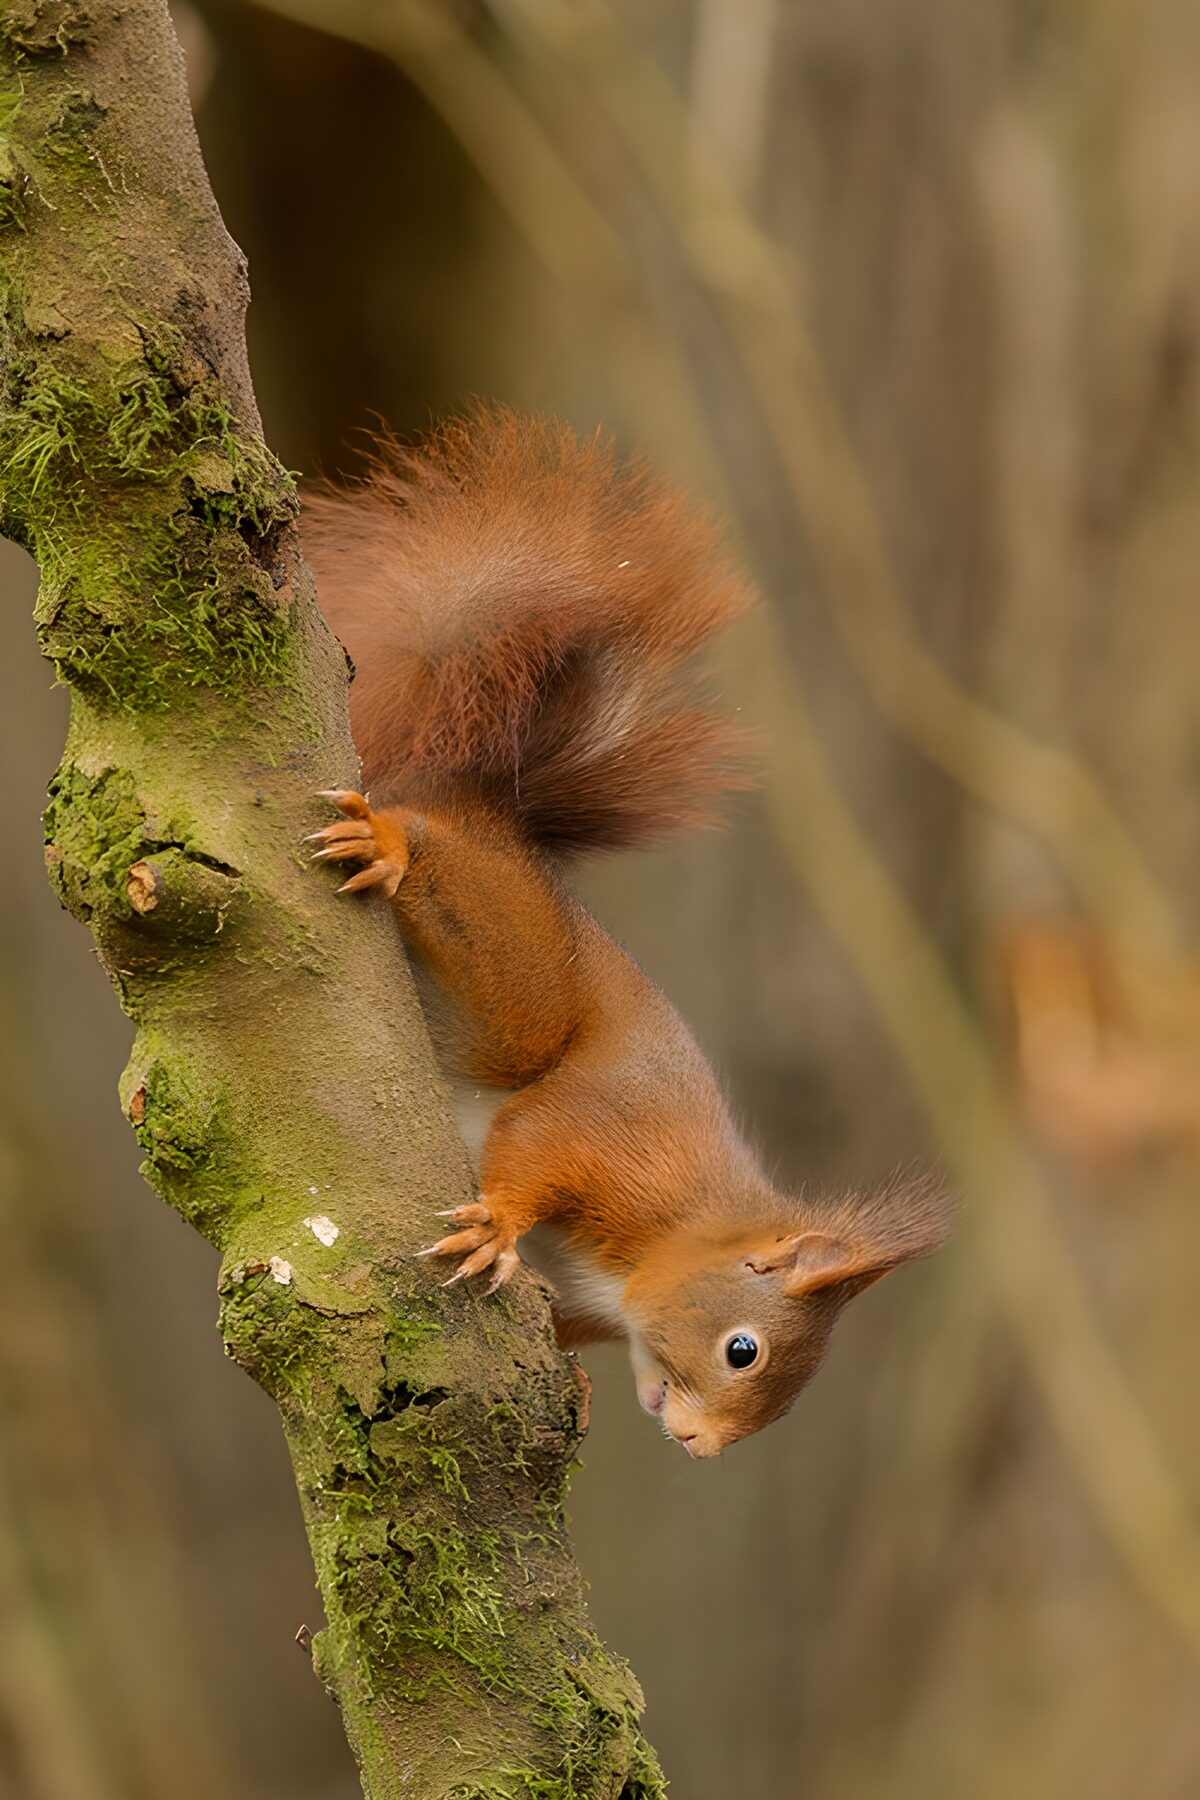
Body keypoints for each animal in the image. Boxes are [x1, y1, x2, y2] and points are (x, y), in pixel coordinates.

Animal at [303, 408, 950, 1457]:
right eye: (743, 1351)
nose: (699, 1447)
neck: (680, 1231)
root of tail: (491, 811)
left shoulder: (586, 1300)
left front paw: (574, 1382)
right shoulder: (617, 1143)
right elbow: (538, 1140)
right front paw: (501, 1224)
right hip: (521, 973)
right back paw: (393, 845)